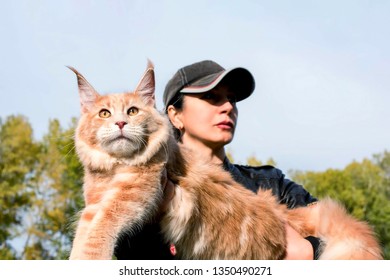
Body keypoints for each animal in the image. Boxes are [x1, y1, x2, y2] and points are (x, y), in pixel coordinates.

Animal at [68, 62, 382, 260]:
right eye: (105, 114)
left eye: (132, 111)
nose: (120, 123)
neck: (114, 167)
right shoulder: (94, 202)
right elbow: (85, 233)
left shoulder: (132, 194)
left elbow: (98, 233)